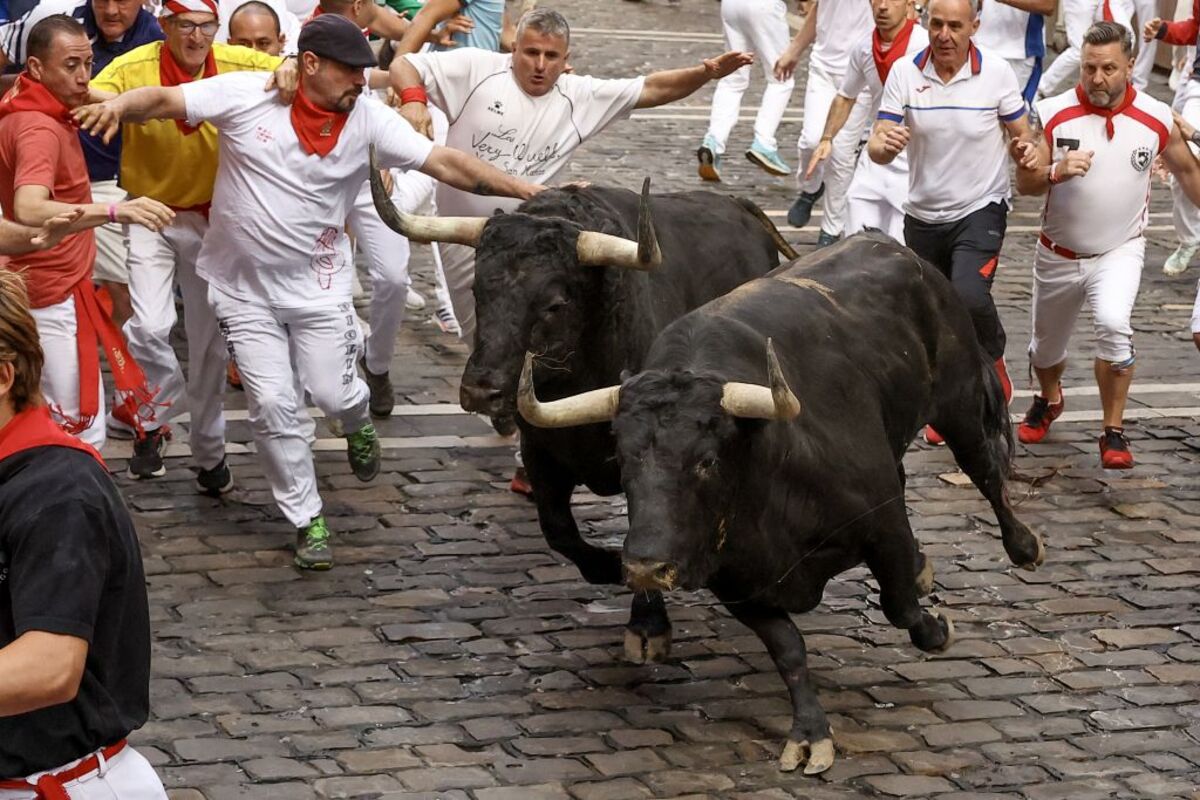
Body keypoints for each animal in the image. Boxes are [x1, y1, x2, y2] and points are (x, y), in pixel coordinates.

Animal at [520, 235, 1046, 777]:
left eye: (706, 460)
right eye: (622, 457)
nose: (646, 567)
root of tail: (895, 249)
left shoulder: (883, 524)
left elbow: (899, 604)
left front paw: (937, 629)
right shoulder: (739, 582)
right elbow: (789, 650)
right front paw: (810, 734)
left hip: (958, 402)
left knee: (986, 470)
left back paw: (1024, 546)